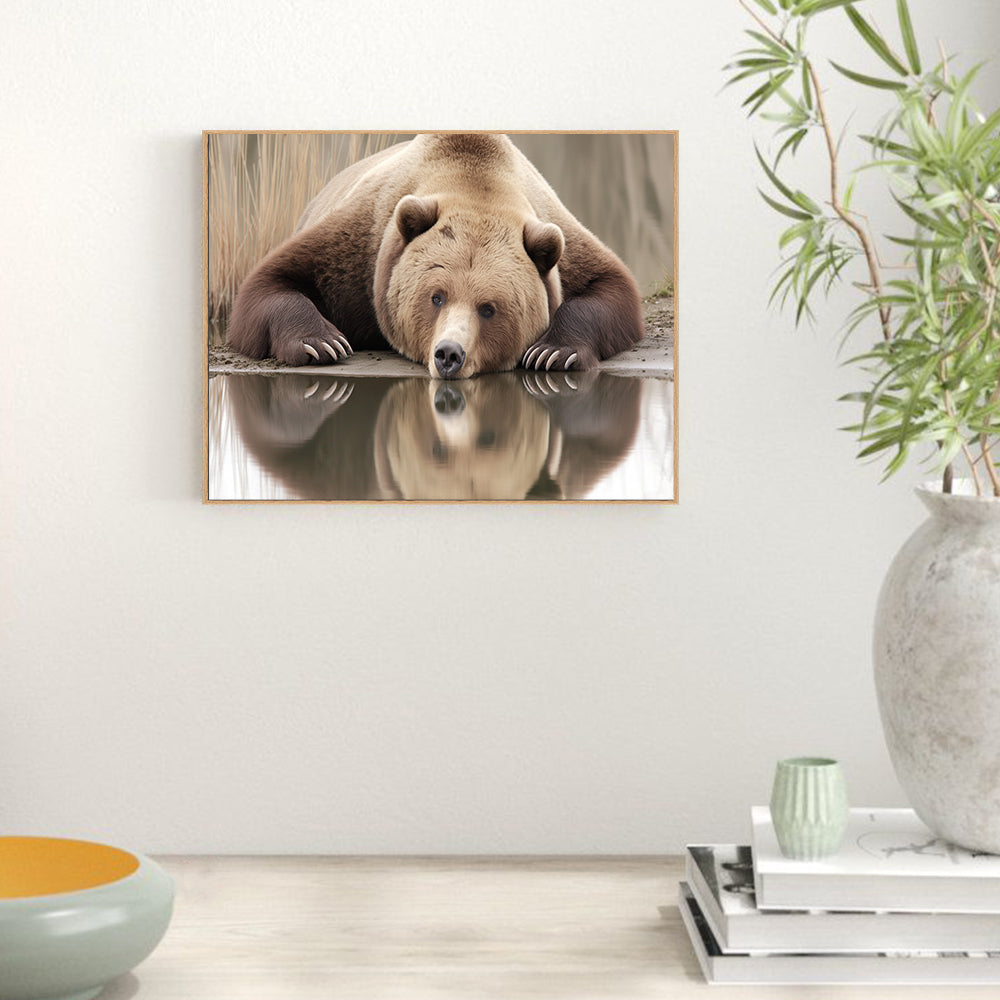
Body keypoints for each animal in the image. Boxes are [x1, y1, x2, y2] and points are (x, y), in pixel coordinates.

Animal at [225, 134, 644, 379]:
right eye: (436, 296)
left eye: (489, 307)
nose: (448, 354)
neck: (472, 179)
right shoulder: (360, 246)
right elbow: (272, 280)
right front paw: (322, 342)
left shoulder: (559, 241)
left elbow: (610, 286)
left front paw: (552, 352)